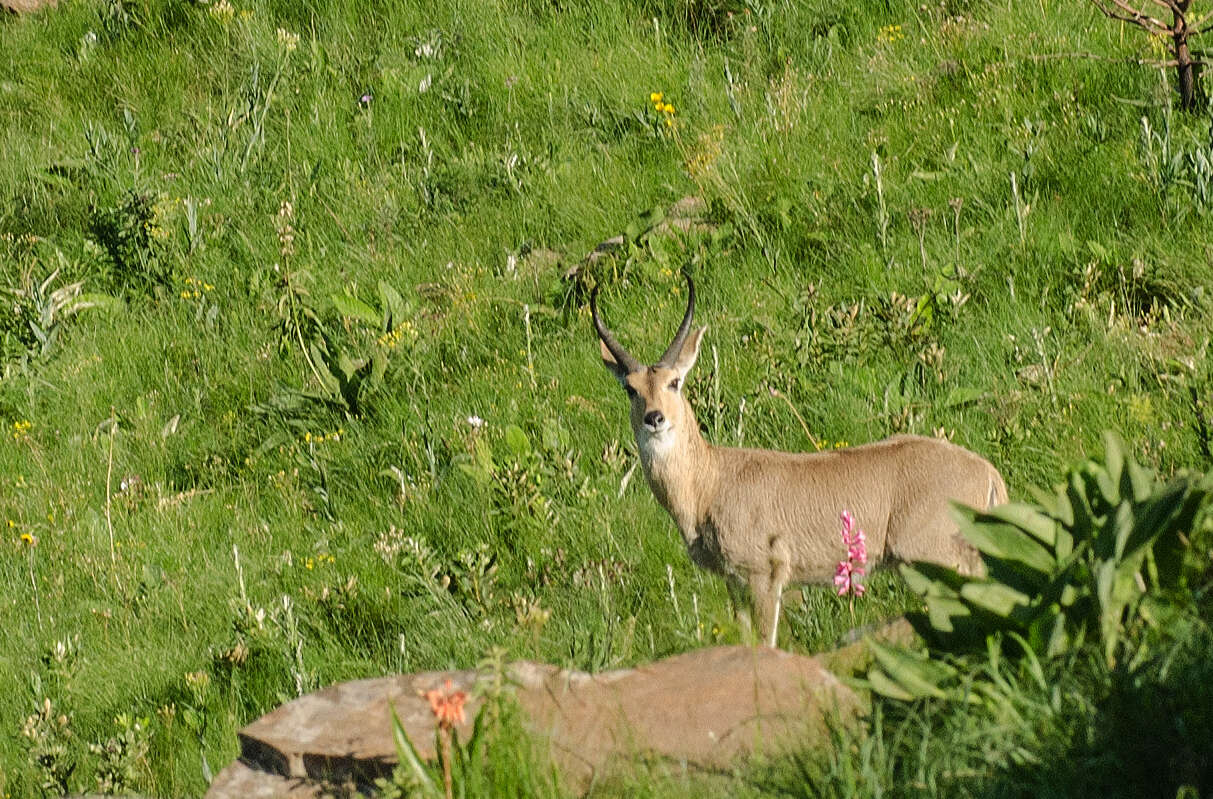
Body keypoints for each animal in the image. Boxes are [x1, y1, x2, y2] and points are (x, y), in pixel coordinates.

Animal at [589, 277, 1004, 645]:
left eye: (675, 382)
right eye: (631, 389)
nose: (654, 417)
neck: (710, 482)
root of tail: (986, 472)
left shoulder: (764, 577)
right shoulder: (733, 582)